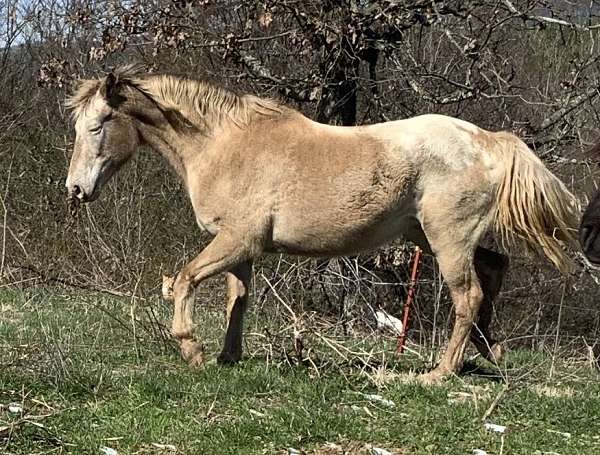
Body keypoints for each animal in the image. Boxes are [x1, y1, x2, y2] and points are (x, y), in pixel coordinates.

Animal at [63, 66, 580, 382]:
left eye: (98, 125)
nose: (75, 189)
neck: (223, 145)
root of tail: (488, 140)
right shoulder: (241, 249)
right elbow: (237, 300)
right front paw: (229, 357)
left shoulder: (236, 241)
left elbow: (187, 280)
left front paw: (192, 350)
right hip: (432, 236)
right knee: (492, 271)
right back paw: (491, 352)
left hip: (447, 240)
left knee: (468, 295)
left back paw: (440, 373)